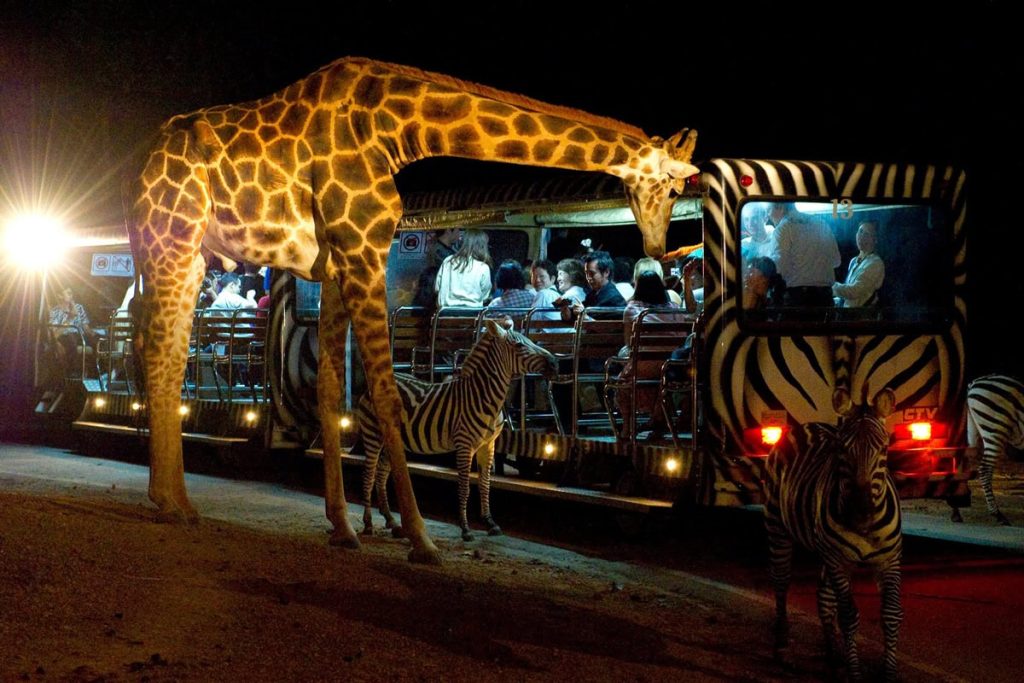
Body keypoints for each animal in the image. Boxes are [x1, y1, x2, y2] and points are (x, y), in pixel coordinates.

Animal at [126, 56, 698, 564]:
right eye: (671, 184)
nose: (658, 245)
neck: (393, 128)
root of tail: (145, 159)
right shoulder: (363, 251)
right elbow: (383, 390)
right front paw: (420, 538)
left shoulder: (336, 264)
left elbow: (332, 386)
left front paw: (343, 526)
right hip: (171, 240)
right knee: (157, 350)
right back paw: (170, 502)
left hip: (193, 255)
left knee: (170, 354)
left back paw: (175, 499)